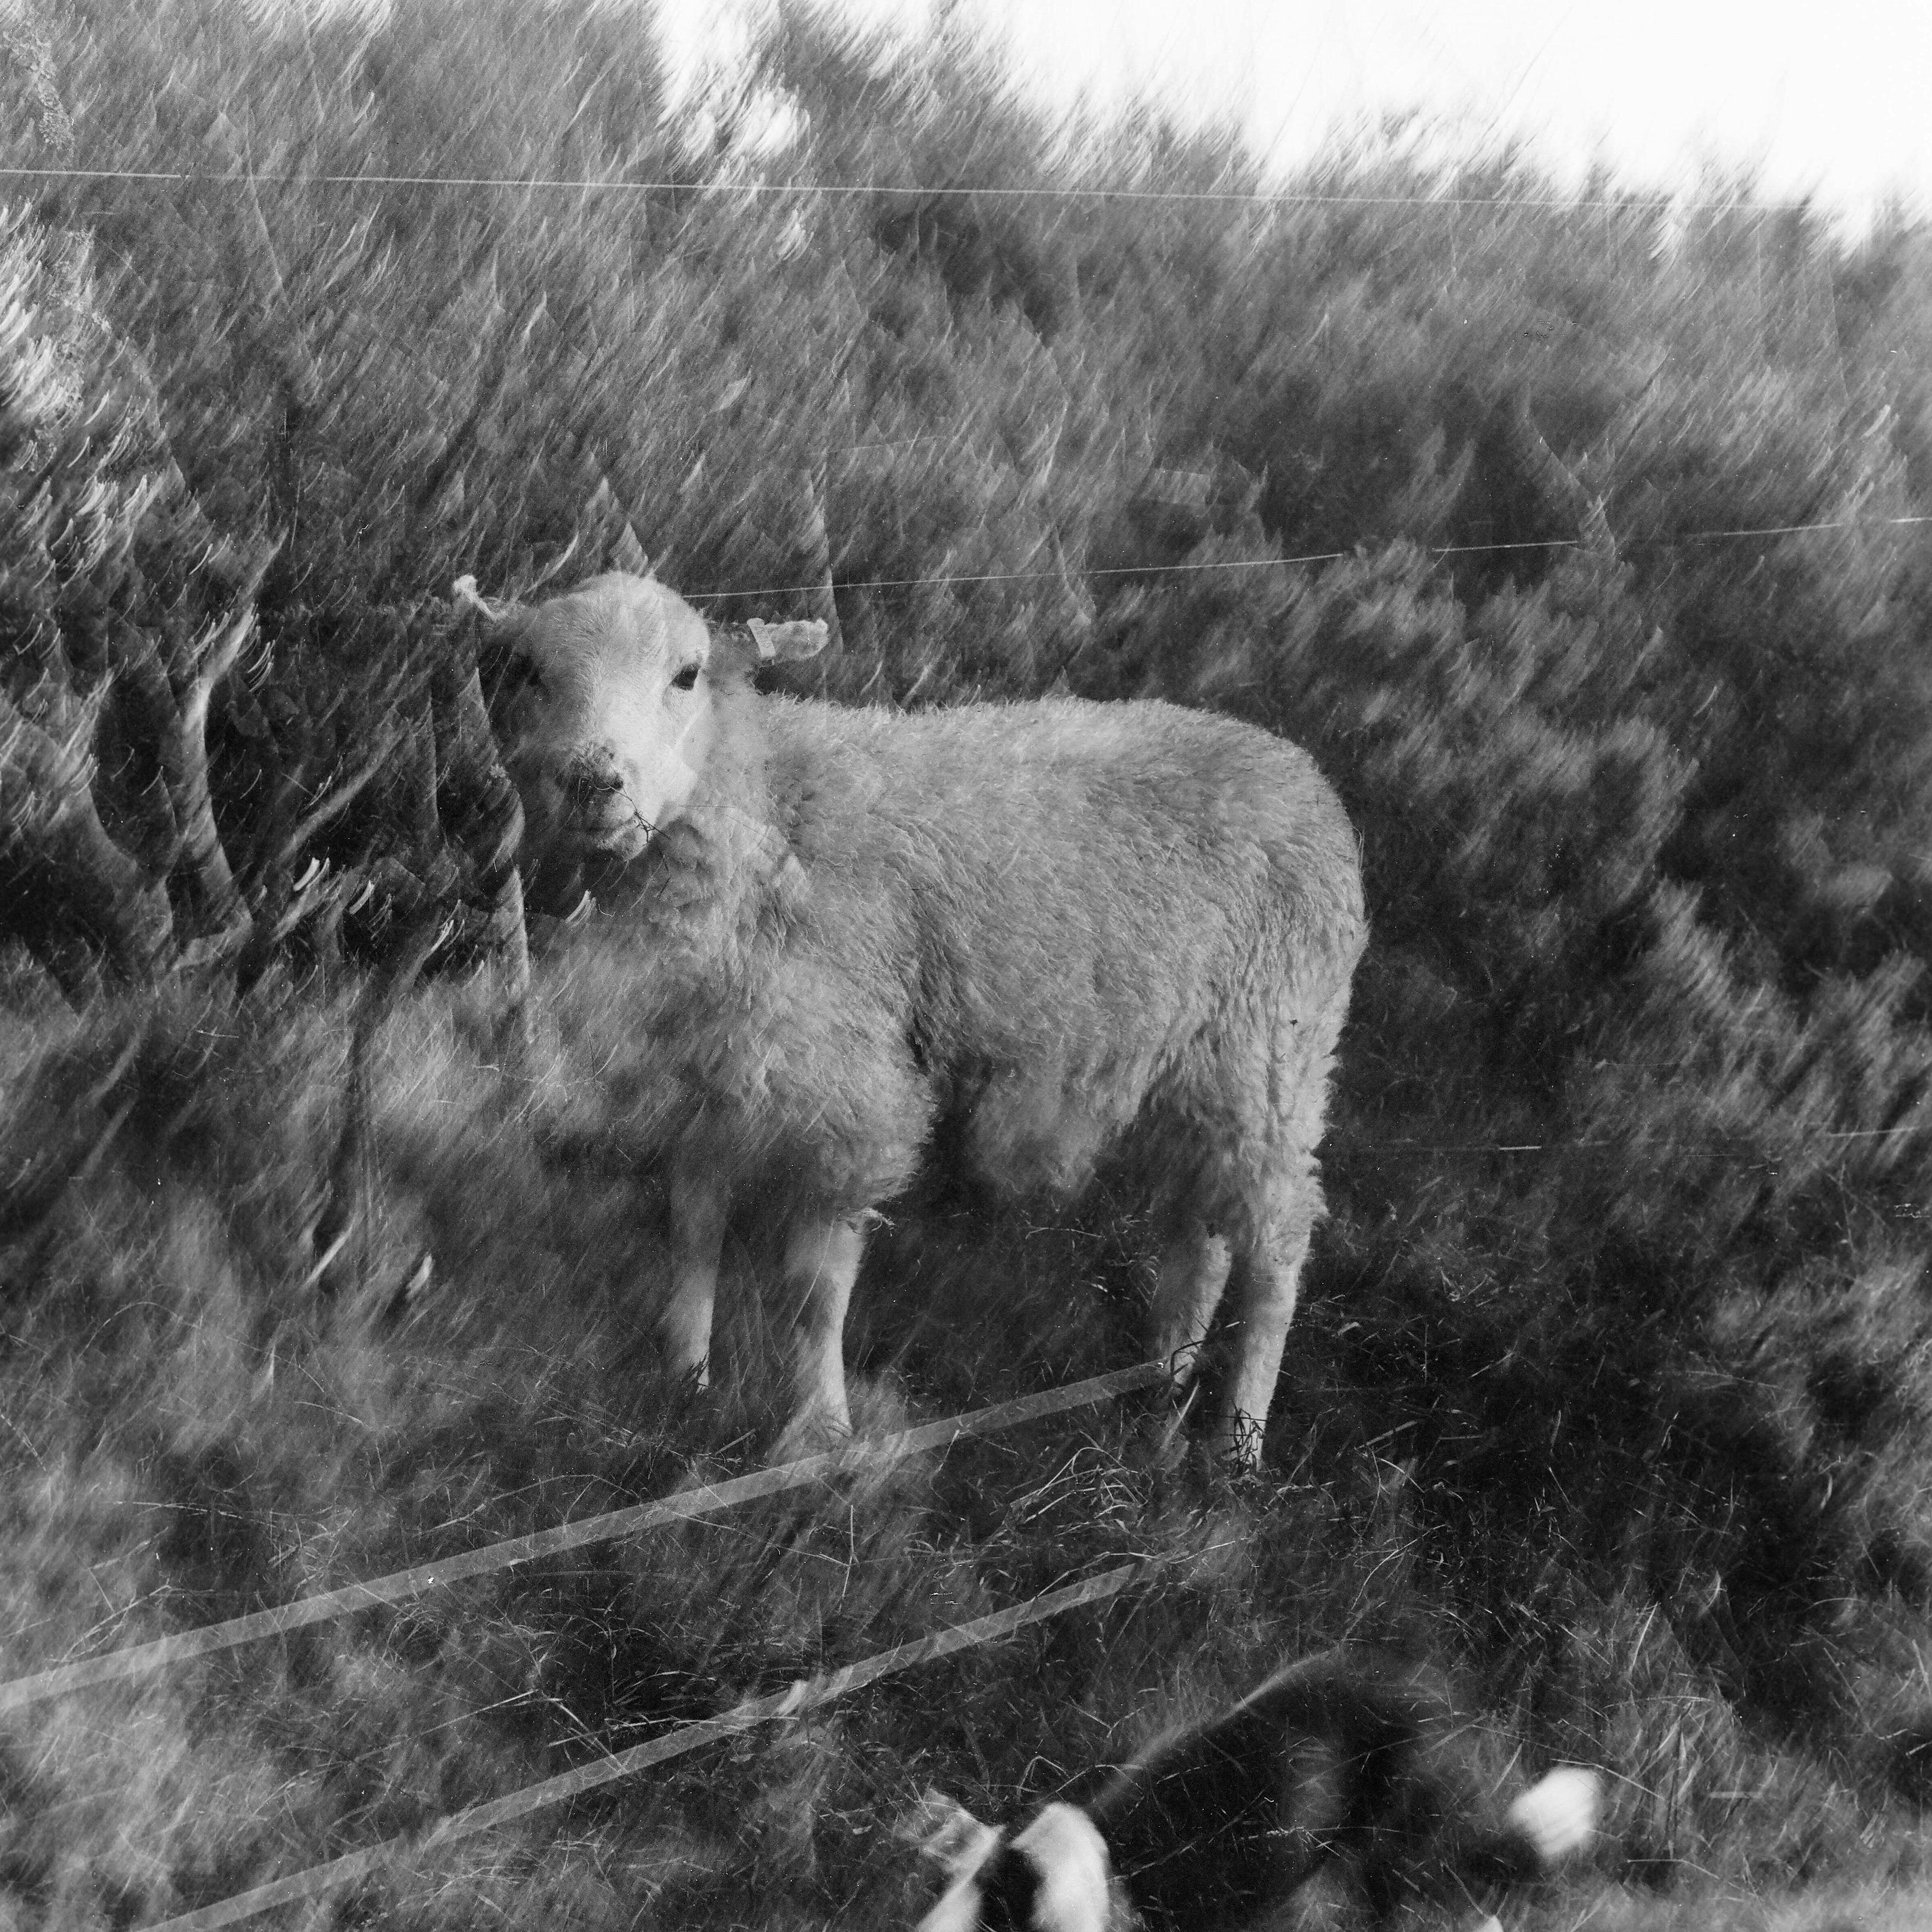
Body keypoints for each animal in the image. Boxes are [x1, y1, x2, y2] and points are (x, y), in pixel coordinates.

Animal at [470, 566, 1366, 1465]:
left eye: (687, 675)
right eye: (529, 672)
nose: (594, 782)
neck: (770, 807)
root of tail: (1300, 772)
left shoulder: (844, 1095)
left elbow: (813, 1288)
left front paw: (819, 1433)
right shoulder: (710, 1065)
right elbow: (693, 1223)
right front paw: (682, 1379)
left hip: (1274, 1050)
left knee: (1278, 1242)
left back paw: (1238, 1443)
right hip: (1194, 1064)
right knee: (1201, 1229)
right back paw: (1161, 1389)